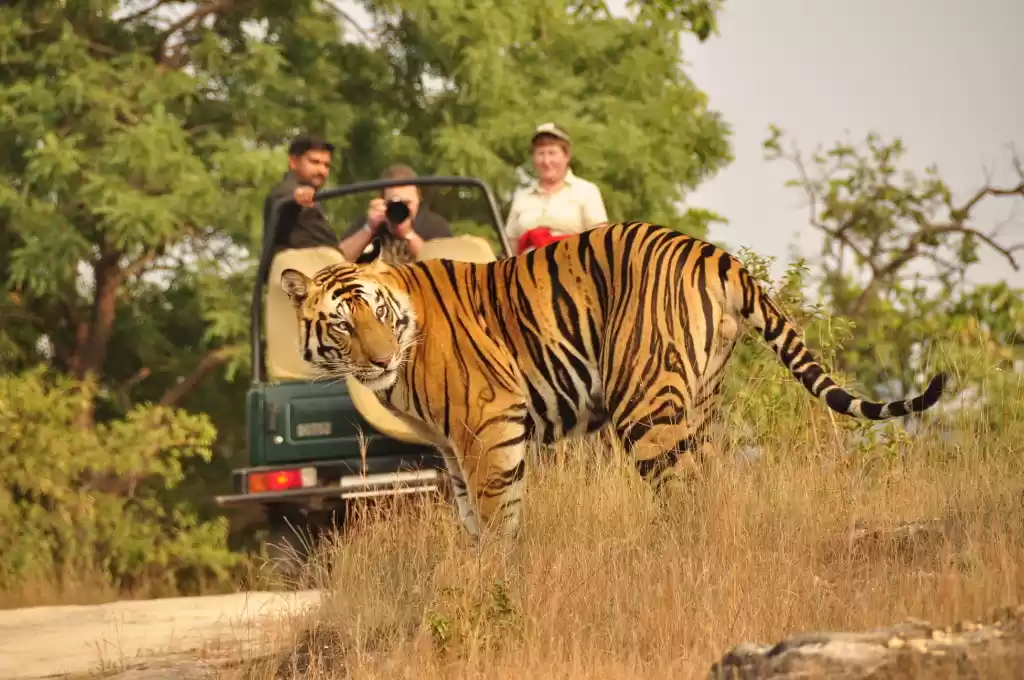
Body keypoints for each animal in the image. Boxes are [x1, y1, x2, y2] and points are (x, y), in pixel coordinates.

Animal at [279, 221, 947, 543]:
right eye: (342, 323)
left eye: (377, 312)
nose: (379, 359)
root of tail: (717, 254)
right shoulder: (452, 448)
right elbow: (471, 519)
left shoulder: (488, 426)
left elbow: (497, 519)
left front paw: (496, 585)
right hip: (699, 401)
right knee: (712, 485)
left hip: (645, 405)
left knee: (683, 492)